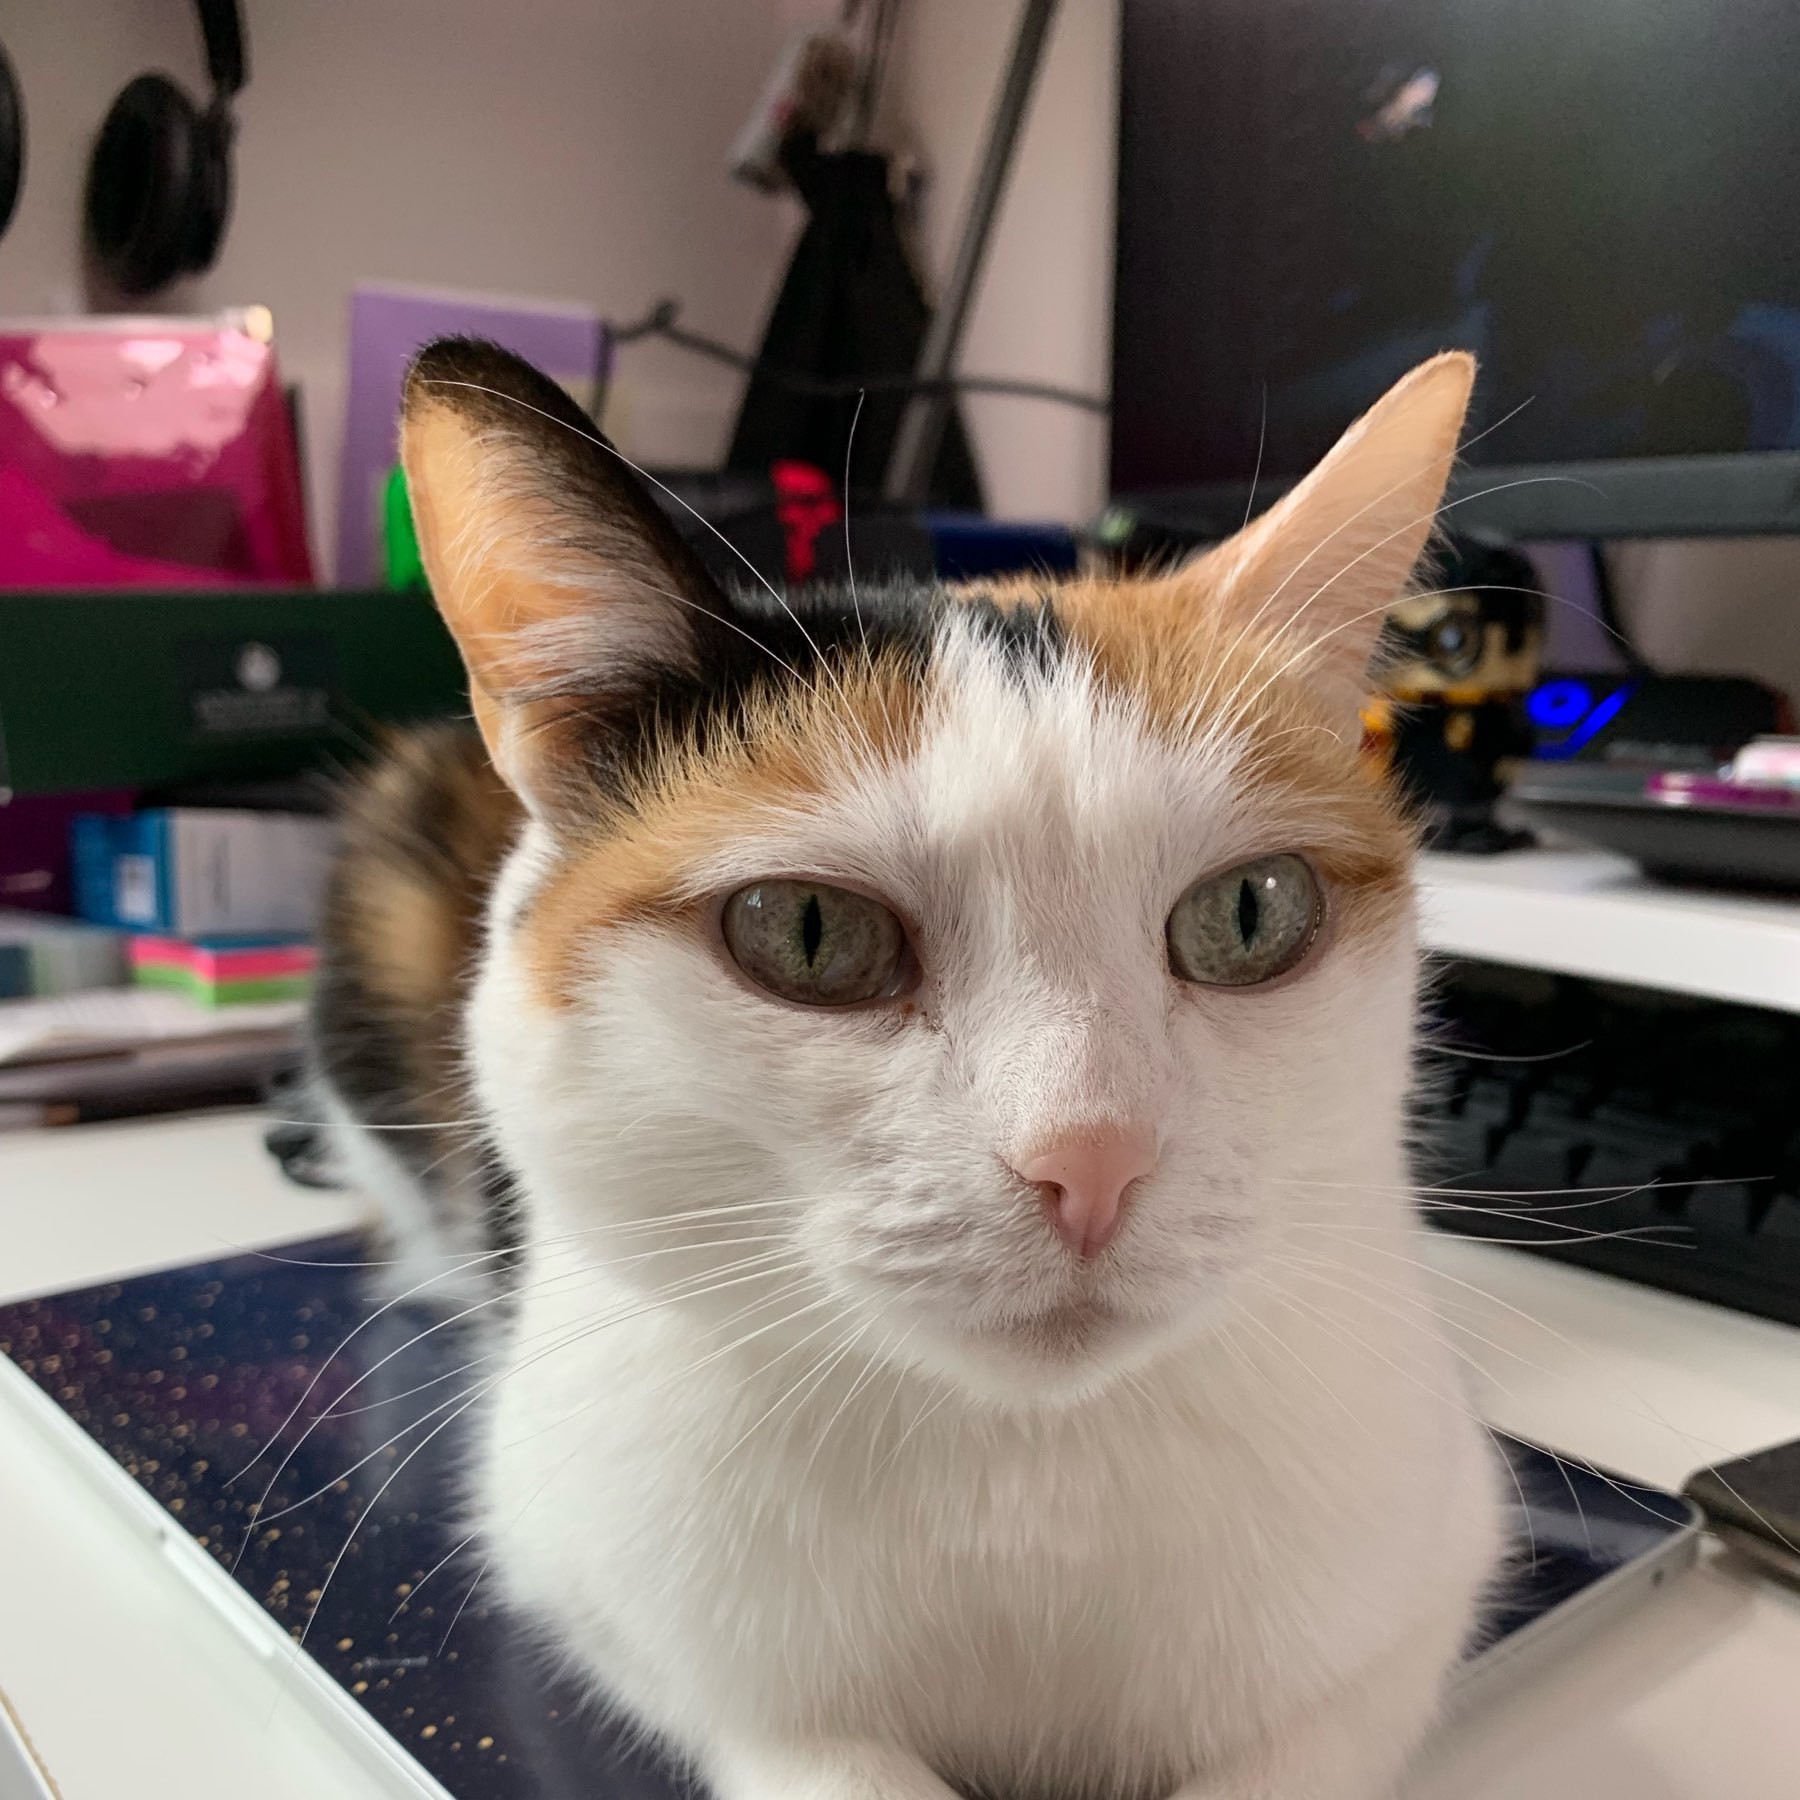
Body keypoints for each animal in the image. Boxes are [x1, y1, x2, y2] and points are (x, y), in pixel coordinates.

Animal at [309, 340, 1504, 1800]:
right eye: (810, 933)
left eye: (1249, 914)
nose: (1091, 1159)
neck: (1021, 1477)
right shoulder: (586, 1560)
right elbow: (815, 1748)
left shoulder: (1429, 1573)